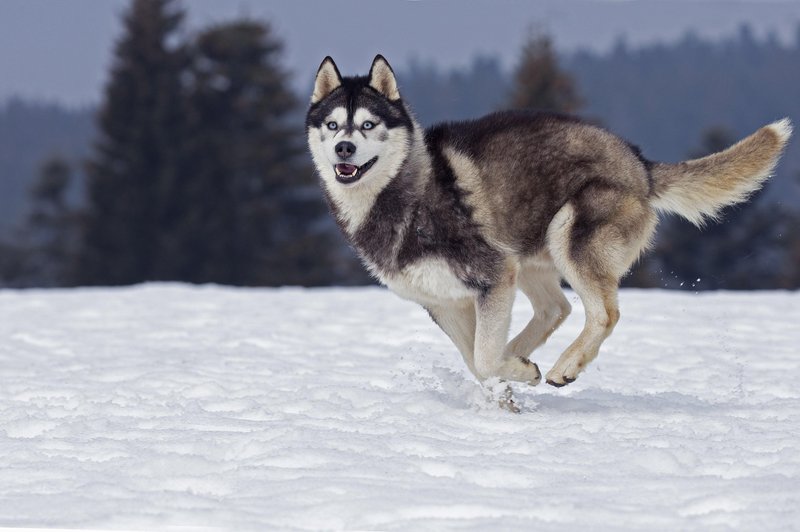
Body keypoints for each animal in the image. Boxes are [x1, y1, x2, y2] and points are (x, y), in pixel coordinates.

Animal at [306, 56, 788, 390]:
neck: (404, 194)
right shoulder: (444, 302)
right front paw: (507, 389)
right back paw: (523, 356)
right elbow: (475, 359)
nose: (345, 148)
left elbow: (482, 358)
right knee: (558, 309)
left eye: (369, 124)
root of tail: (638, 163)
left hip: (565, 240)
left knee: (604, 313)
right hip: (529, 257)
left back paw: (562, 367)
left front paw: (513, 376)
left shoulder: (492, 276)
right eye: (332, 125)